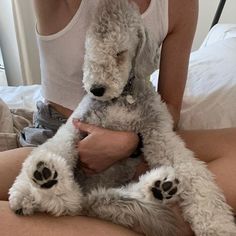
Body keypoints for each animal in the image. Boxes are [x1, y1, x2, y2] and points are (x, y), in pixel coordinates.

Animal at [8, 0, 236, 236]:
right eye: (89, 50)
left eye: (120, 52)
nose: (96, 89)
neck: (120, 99)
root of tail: (85, 200)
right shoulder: (76, 126)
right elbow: (56, 146)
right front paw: (24, 192)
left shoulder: (158, 132)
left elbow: (192, 173)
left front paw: (217, 225)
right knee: (67, 201)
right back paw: (47, 178)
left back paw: (159, 188)